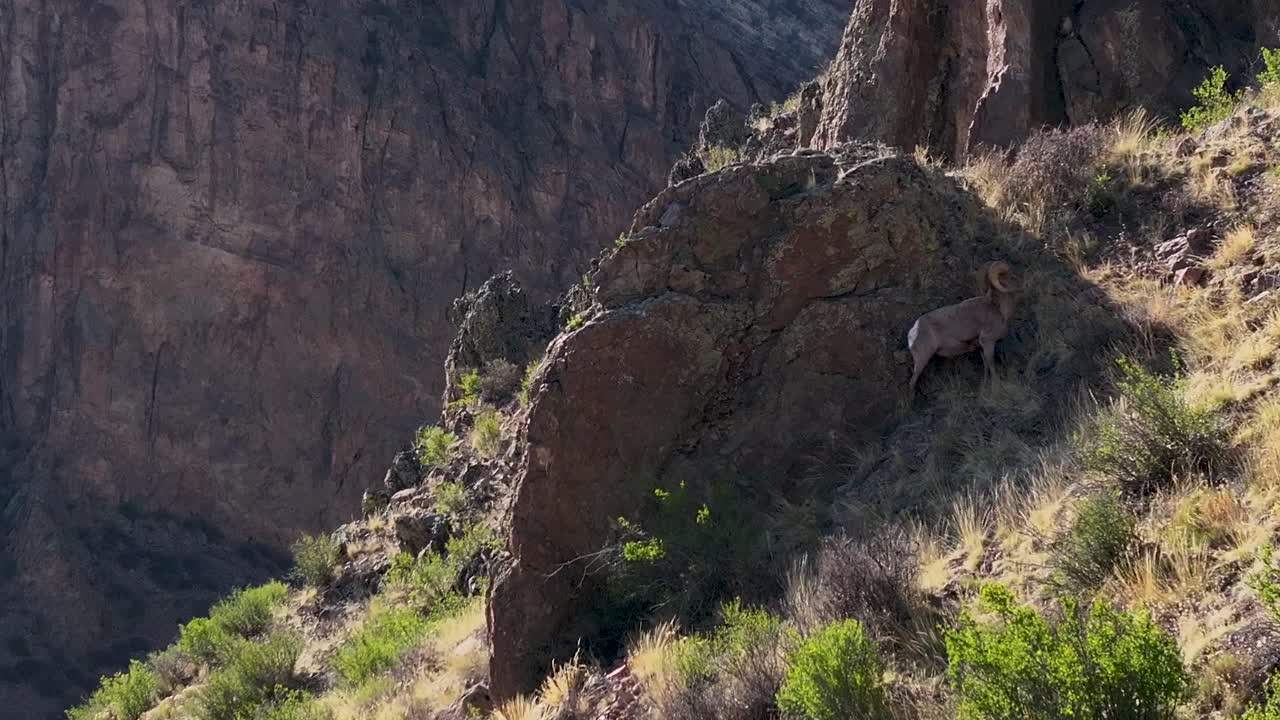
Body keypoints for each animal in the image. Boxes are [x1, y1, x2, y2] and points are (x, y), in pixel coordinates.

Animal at [906, 261, 1022, 395]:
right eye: (1011, 277)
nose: (1021, 286)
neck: (999, 310)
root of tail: (911, 333)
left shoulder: (981, 348)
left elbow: (986, 367)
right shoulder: (988, 342)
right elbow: (991, 364)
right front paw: (996, 387)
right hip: (922, 359)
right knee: (912, 382)